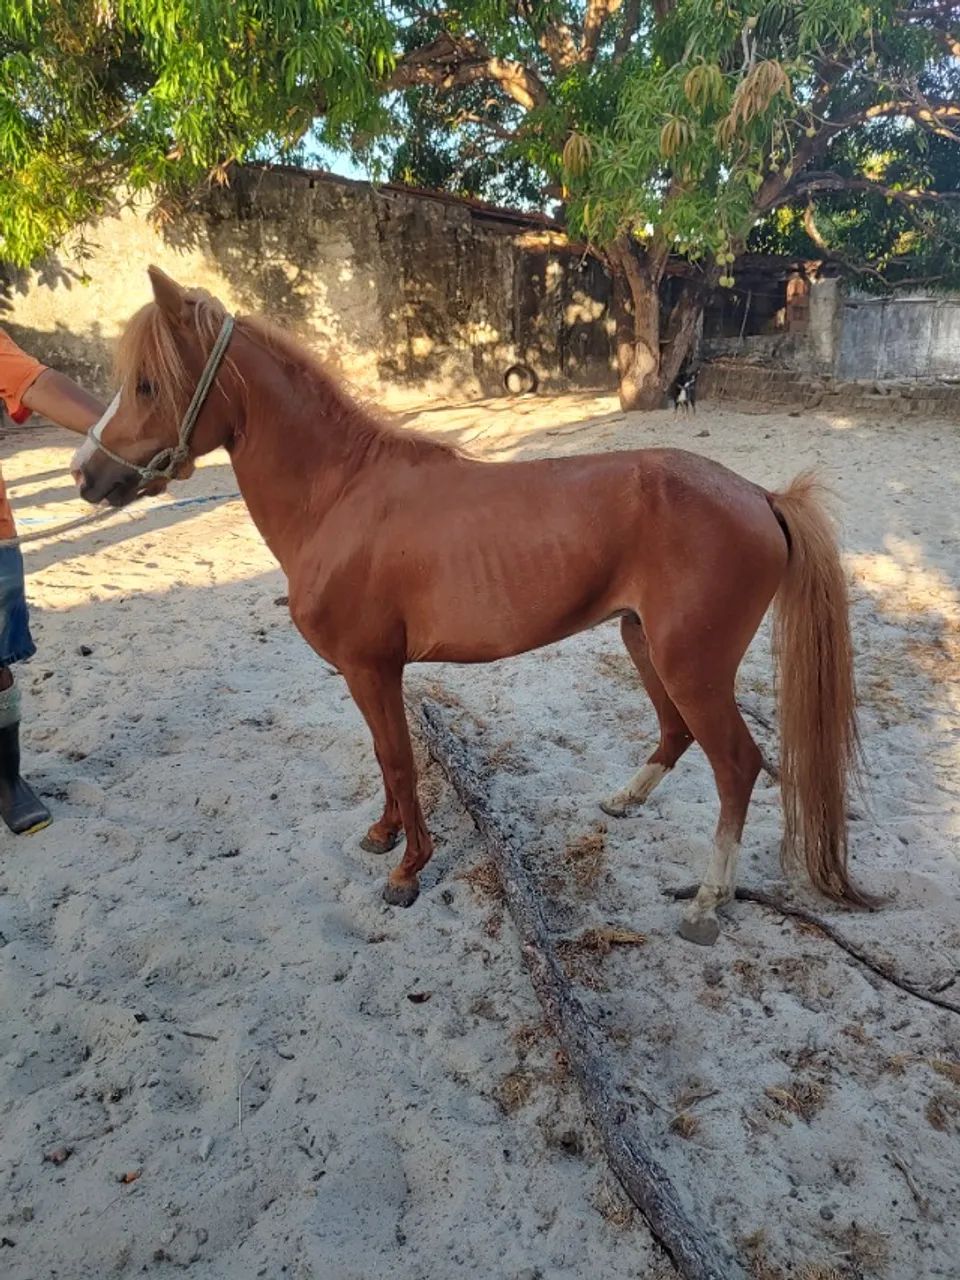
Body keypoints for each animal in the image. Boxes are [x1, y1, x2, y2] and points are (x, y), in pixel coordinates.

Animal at [73, 266, 869, 946]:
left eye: (146, 384)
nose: (85, 475)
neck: (340, 496)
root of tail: (761, 495)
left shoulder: (372, 667)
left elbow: (399, 760)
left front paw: (407, 870)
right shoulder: (370, 674)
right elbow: (384, 755)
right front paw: (384, 836)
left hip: (691, 665)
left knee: (736, 765)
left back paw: (706, 903)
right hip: (644, 643)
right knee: (676, 735)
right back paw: (623, 801)